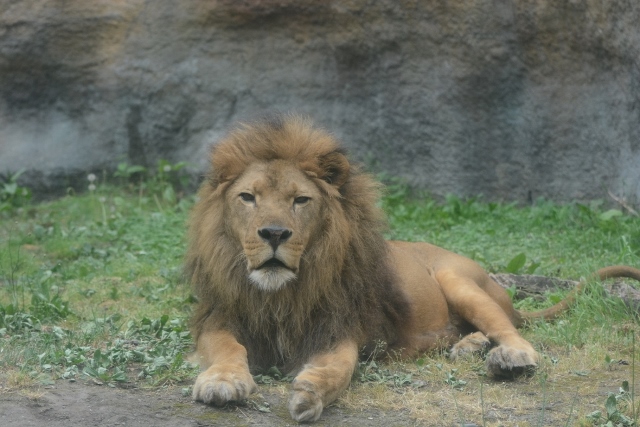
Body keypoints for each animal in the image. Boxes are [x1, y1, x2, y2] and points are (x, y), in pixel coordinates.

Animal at [185, 114, 640, 424]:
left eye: (300, 200)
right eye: (248, 197)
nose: (274, 233)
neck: (282, 293)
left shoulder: (339, 328)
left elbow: (338, 368)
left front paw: (309, 393)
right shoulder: (221, 317)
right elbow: (227, 348)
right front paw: (222, 381)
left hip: (457, 279)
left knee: (512, 330)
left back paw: (508, 357)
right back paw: (469, 347)